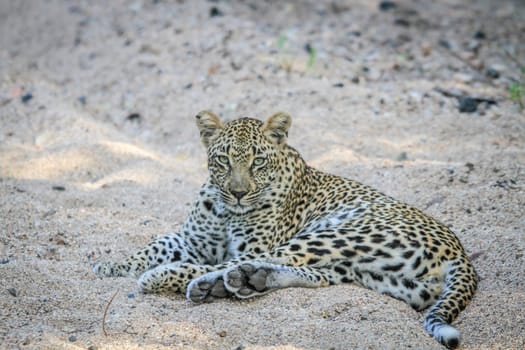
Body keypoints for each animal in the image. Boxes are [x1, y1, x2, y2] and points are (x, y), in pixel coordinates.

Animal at [92, 110, 476, 348]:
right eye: (223, 159)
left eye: (257, 161)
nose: (238, 192)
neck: (225, 210)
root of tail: (460, 252)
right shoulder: (191, 239)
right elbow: (153, 245)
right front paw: (111, 265)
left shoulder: (249, 245)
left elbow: (207, 257)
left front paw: (149, 272)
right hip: (379, 276)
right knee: (316, 277)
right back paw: (247, 282)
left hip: (337, 234)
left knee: (238, 264)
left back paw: (191, 281)